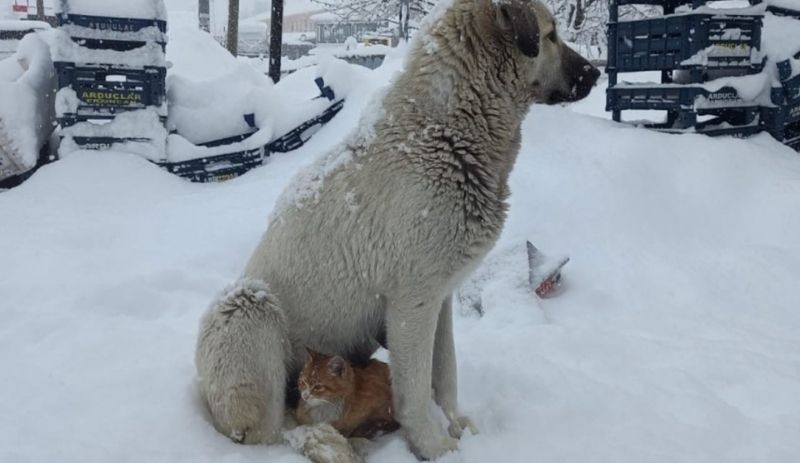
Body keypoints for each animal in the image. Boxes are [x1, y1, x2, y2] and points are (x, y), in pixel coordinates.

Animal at [197, 0, 596, 458]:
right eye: (550, 36)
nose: (595, 73)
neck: (445, 131)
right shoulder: (412, 302)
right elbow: (415, 388)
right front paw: (434, 446)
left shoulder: (440, 297)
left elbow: (446, 371)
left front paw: (455, 424)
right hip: (247, 305)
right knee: (273, 431)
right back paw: (328, 438)